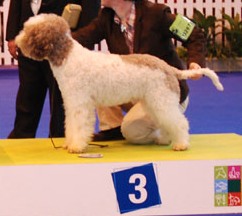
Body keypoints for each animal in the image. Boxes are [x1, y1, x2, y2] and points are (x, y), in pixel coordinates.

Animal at [14, 13, 223, 154]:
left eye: (29, 31)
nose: (16, 41)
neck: (68, 57)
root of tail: (168, 67)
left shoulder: (80, 105)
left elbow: (79, 125)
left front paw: (76, 146)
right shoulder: (72, 104)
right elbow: (71, 125)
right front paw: (69, 143)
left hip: (162, 100)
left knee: (179, 122)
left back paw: (181, 144)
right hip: (154, 102)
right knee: (166, 122)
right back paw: (165, 140)